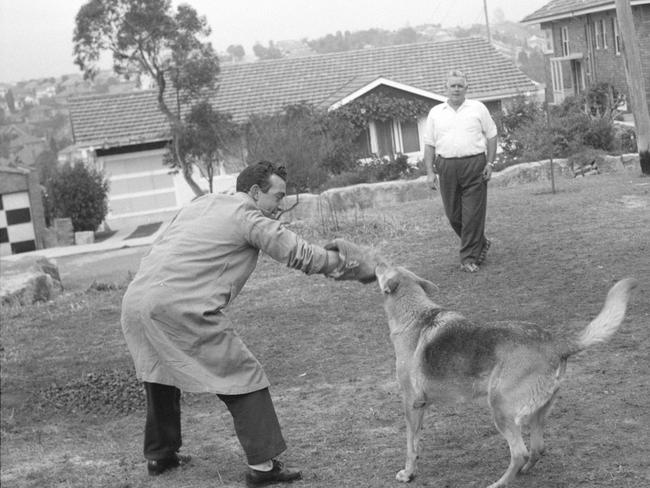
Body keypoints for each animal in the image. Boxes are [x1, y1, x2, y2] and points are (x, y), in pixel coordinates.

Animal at [372, 264, 636, 488]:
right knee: (537, 449)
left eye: (385, 266)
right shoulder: (422, 405)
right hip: (537, 413)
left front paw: (408, 474)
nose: (375, 264)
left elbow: (410, 445)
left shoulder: (412, 403)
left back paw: (500, 483)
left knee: (520, 453)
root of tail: (556, 344)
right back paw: (524, 473)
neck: (415, 315)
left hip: (500, 408)